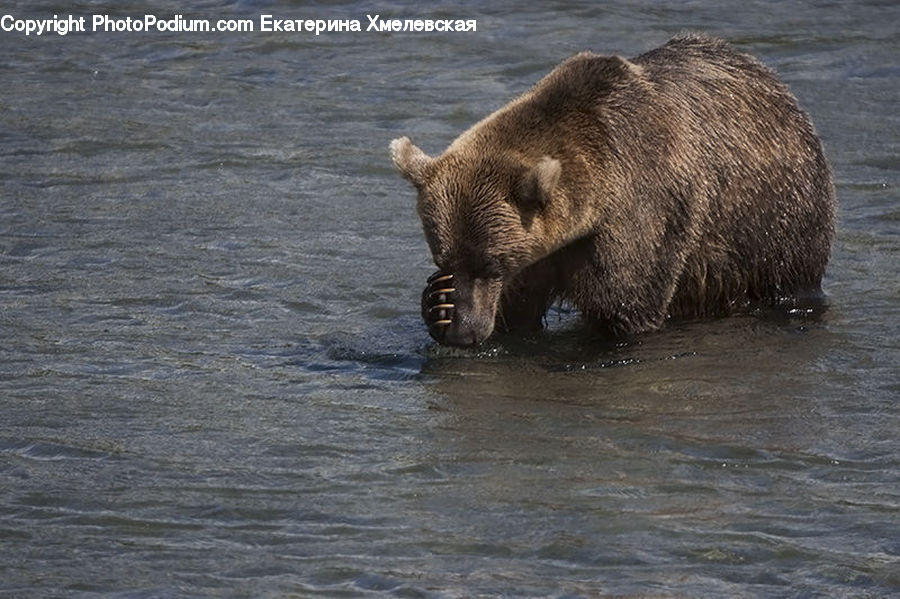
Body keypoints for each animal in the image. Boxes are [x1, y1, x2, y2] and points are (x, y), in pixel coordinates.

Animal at [390, 33, 835, 348]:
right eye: (444, 258)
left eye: (490, 262)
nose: (464, 331)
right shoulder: (544, 250)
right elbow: (519, 310)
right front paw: (439, 302)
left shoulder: (642, 207)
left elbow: (622, 302)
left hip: (774, 214)